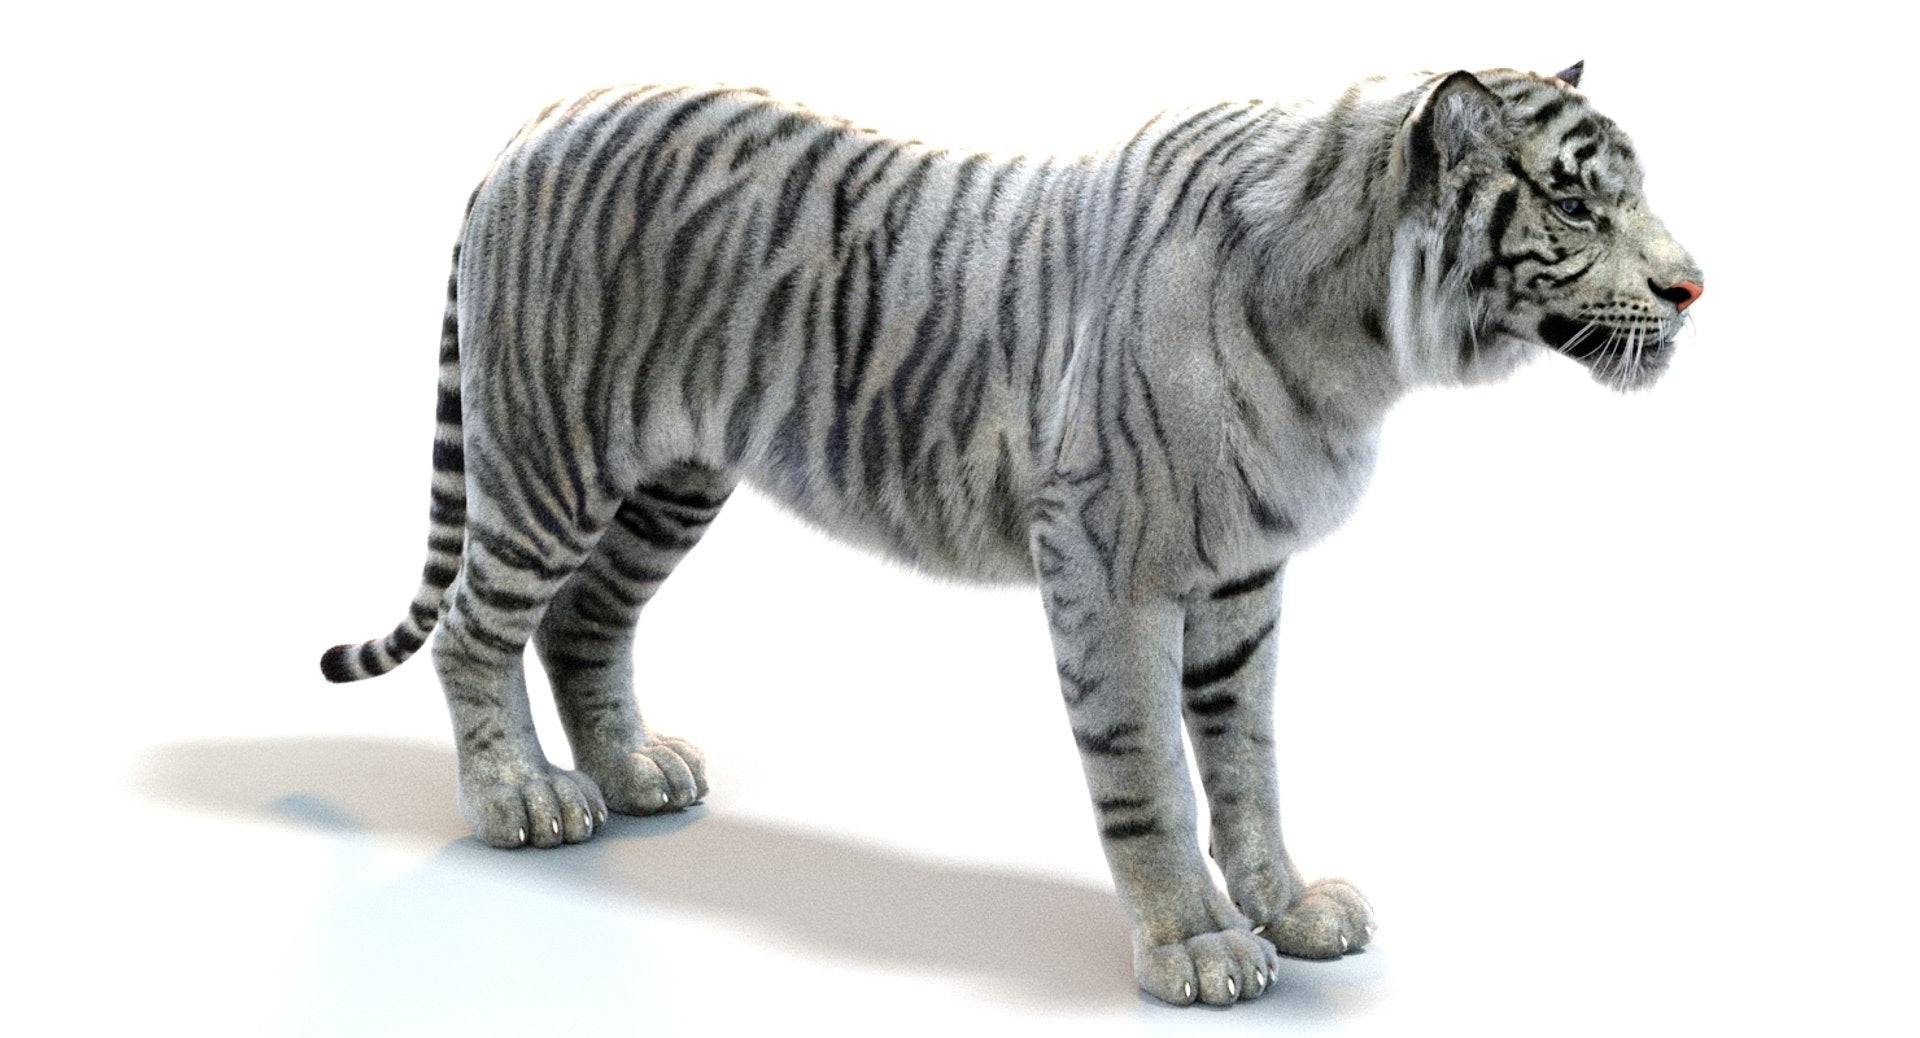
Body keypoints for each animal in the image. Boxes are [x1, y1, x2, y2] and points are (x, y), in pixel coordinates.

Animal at [319, 60, 1701, 1006]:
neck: (1361, 339)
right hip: (549, 461)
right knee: (475, 632)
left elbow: (1248, 762)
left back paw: (634, 774)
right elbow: (1147, 771)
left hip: (673, 479)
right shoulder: (1110, 564)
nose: (1694, 285)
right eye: (1579, 207)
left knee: (585, 623)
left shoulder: (1245, 580)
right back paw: (520, 800)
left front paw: (1292, 909)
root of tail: (538, 121)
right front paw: (1197, 947)